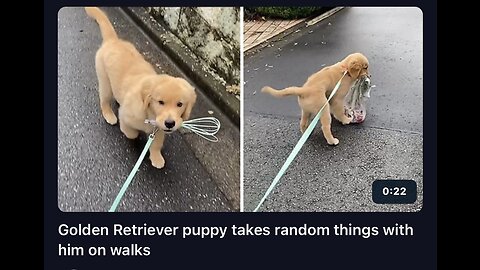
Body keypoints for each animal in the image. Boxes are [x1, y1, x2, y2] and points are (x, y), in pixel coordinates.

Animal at [85, 7, 196, 168]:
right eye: (160, 102)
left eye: (180, 104)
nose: (170, 123)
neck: (150, 115)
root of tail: (114, 41)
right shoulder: (126, 116)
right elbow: (131, 132)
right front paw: (134, 135)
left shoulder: (159, 129)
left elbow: (156, 143)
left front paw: (156, 157)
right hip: (105, 82)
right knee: (104, 100)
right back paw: (109, 114)